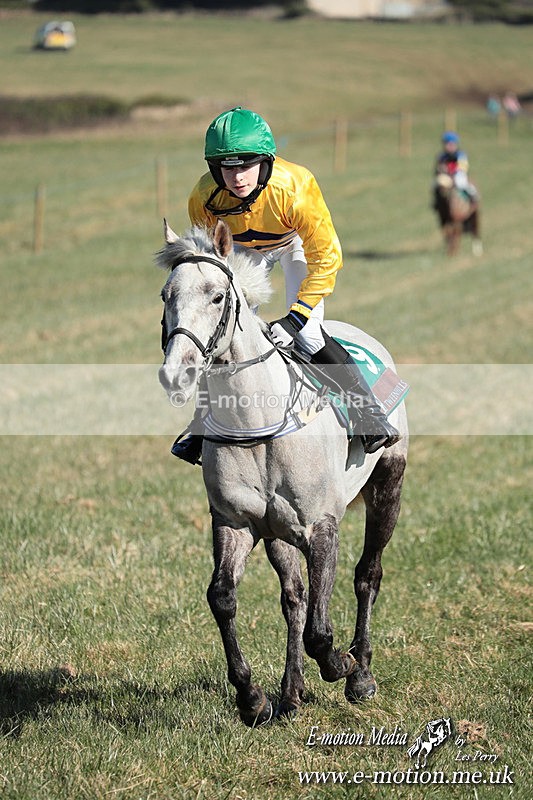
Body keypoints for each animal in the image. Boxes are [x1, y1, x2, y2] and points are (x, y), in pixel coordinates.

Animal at [157, 219, 408, 726]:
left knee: (367, 575)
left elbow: (320, 630)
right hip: (278, 533)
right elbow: (223, 597)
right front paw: (252, 698)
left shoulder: (321, 527)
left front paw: (340, 664)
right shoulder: (235, 523)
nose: (177, 373)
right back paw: (291, 692)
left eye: (217, 296)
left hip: (387, 485)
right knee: (293, 597)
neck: (258, 423)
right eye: (165, 296)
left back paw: (360, 673)